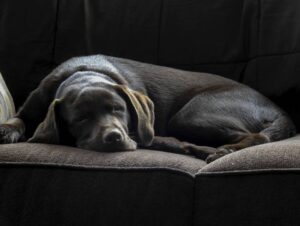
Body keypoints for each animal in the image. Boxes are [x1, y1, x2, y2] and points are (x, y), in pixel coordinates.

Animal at [0, 54, 296, 162]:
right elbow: (18, 119)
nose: (114, 138)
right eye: (80, 119)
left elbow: (158, 140)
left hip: (191, 116)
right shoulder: (33, 105)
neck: (84, 72)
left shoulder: (143, 130)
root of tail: (279, 110)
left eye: (119, 109)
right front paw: (6, 130)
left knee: (258, 137)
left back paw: (223, 151)